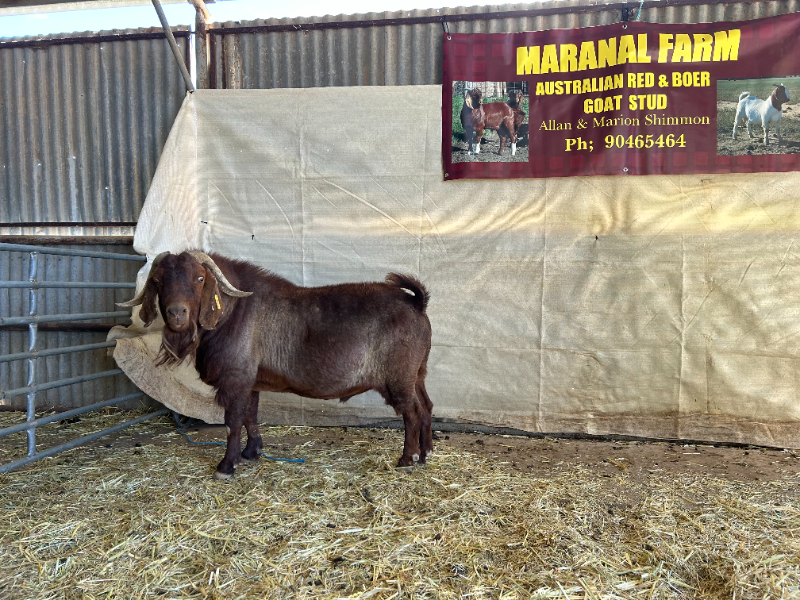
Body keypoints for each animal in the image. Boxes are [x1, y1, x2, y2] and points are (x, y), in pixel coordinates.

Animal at [120, 251, 433, 479]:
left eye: (199, 278)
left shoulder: (236, 378)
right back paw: (426, 452)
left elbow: (233, 420)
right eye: (157, 281)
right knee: (427, 406)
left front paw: (226, 466)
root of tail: (416, 303)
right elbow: (250, 416)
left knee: (412, 412)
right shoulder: (252, 381)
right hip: (418, 373)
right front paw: (251, 453)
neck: (233, 312)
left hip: (398, 377)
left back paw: (407, 459)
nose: (177, 314)